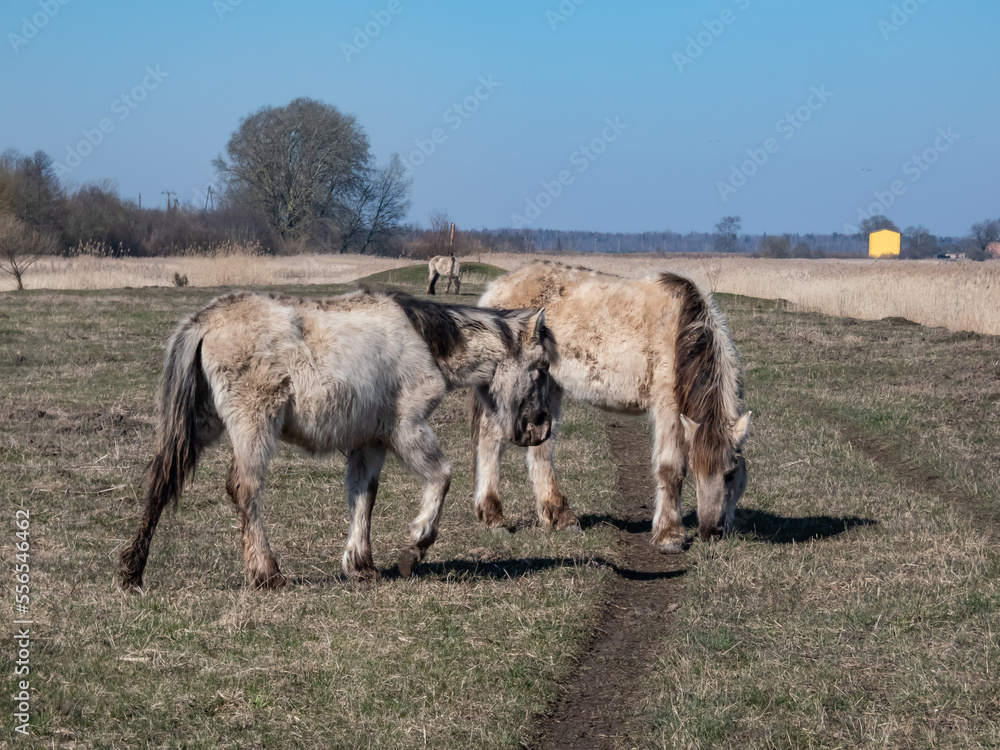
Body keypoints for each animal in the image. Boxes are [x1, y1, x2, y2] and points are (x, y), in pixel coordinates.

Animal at [120, 288, 556, 590]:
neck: (425, 342)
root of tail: (204, 322)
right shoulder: (408, 429)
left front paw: (360, 566)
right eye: (542, 367)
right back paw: (267, 574)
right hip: (253, 427)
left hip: (199, 426)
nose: (541, 428)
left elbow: (363, 497)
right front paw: (415, 548)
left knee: (161, 484)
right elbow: (441, 477)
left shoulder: (370, 443)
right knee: (244, 489)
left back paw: (132, 572)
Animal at [471, 262, 750, 552]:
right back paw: (494, 518)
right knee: (491, 438)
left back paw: (560, 517)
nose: (712, 532)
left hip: (548, 386)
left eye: (731, 473)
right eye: (696, 471)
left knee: (541, 449)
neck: (682, 332)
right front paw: (670, 535)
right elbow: (671, 468)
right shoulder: (668, 408)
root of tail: (496, 288)